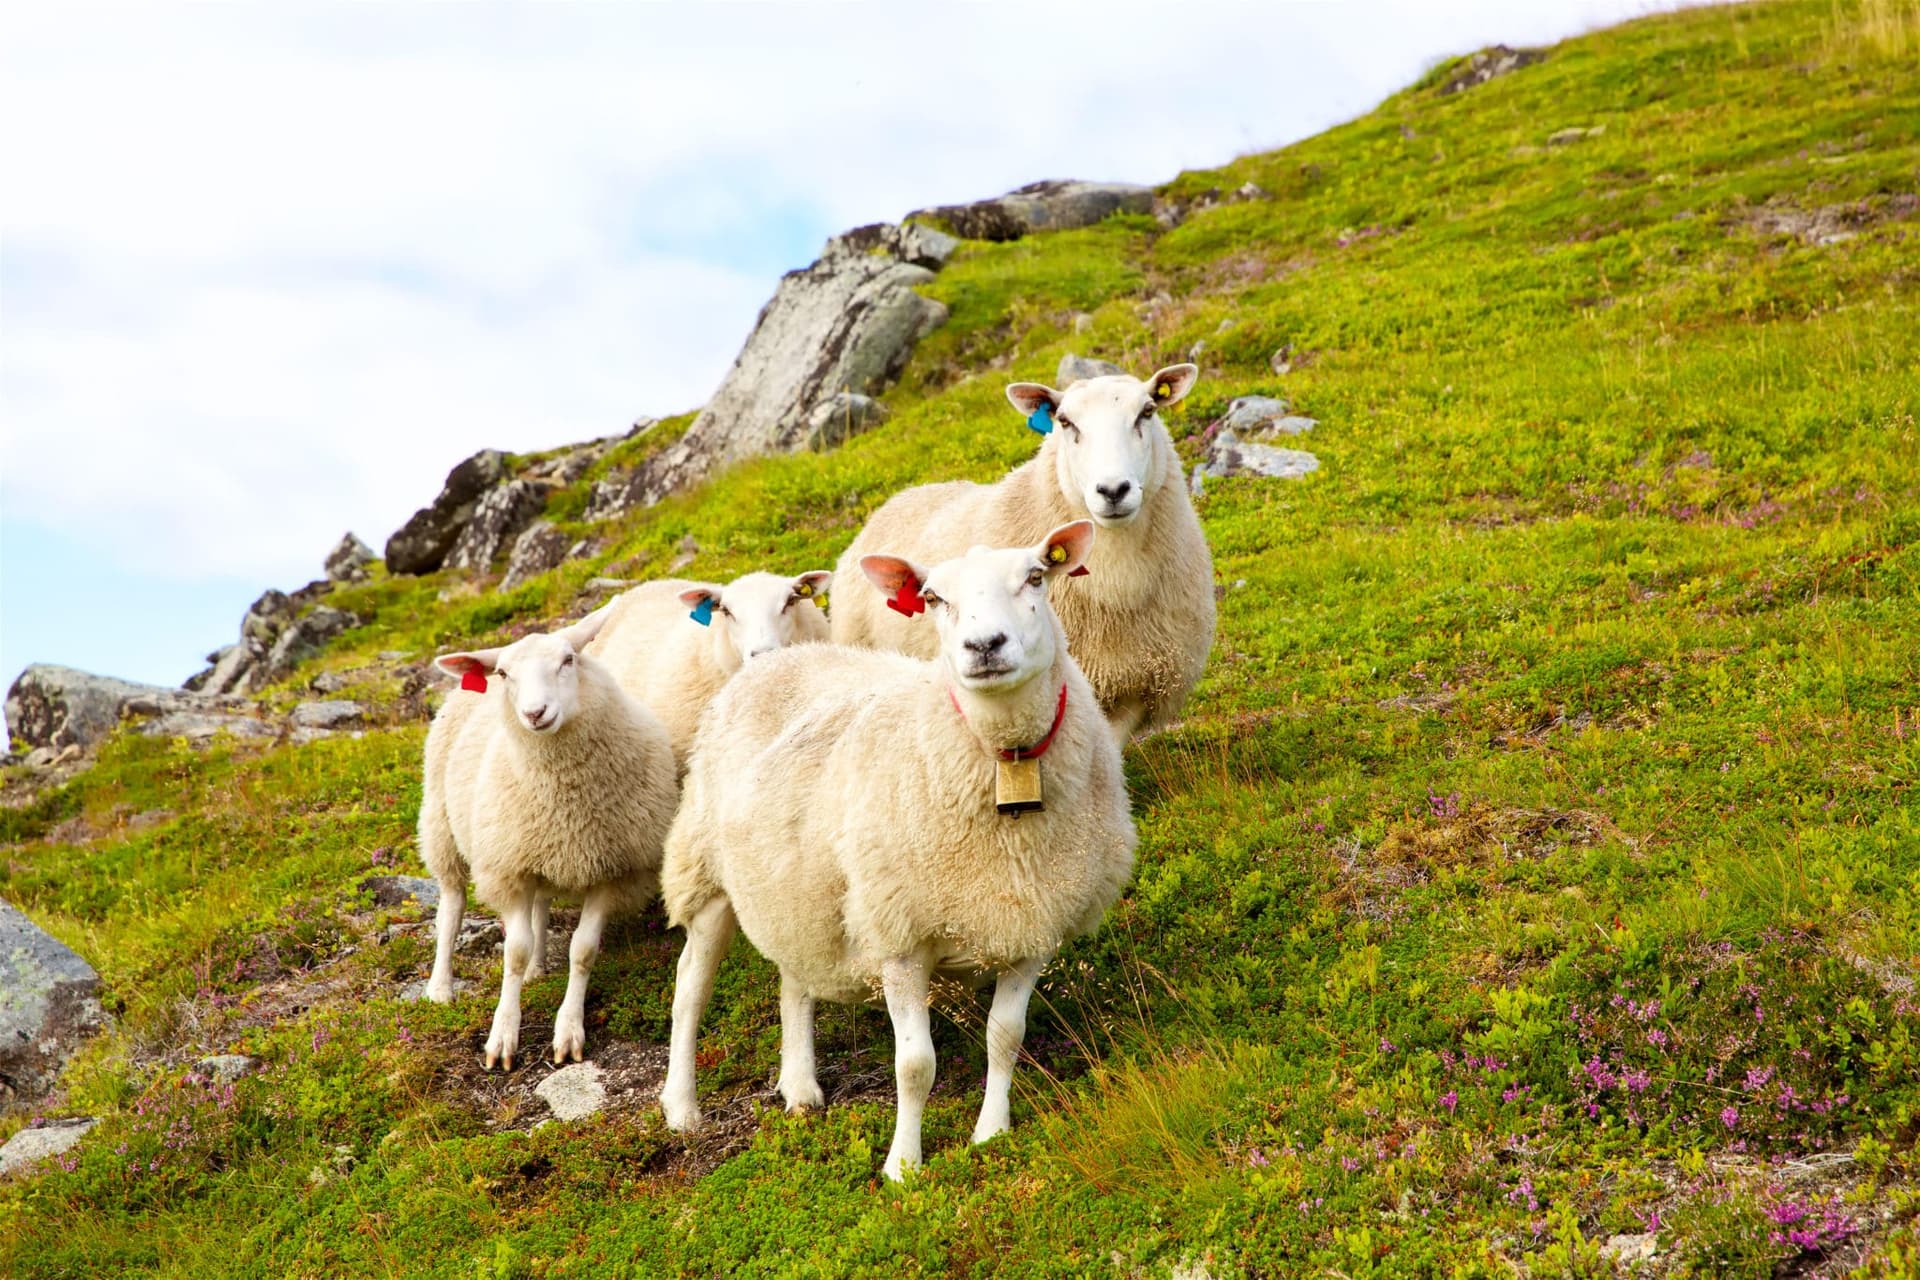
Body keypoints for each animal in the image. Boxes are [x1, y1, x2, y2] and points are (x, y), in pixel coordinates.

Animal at [418, 610, 679, 1070]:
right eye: (504, 674)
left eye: (568, 659)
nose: (535, 713)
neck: (565, 800)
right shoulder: (509, 870)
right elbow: (514, 951)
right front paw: (502, 1036)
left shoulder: (611, 872)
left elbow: (583, 950)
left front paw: (569, 1031)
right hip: (441, 826)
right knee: (451, 907)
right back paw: (441, 987)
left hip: (540, 852)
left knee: (540, 904)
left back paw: (539, 968)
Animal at [658, 520, 1137, 1180]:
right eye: (932, 597)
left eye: (1036, 577)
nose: (984, 646)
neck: (1005, 762)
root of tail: (779, 658)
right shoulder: (900, 934)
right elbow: (915, 1065)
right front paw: (903, 1167)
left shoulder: (1033, 920)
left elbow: (1005, 1036)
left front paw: (990, 1133)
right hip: (704, 870)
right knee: (689, 989)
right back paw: (682, 1107)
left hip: (797, 883)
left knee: (793, 977)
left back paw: (799, 1085)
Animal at [830, 364, 1215, 746]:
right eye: (1065, 422)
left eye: (1147, 412)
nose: (1112, 490)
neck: (1117, 577)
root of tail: (897, 499)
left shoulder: (1134, 689)